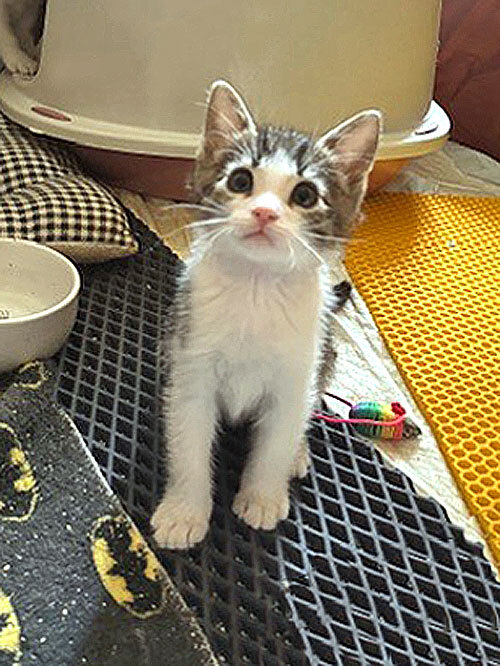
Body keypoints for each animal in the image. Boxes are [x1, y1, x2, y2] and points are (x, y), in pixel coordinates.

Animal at [151, 80, 381, 549]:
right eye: (241, 180)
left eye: (305, 195)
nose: (264, 212)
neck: (256, 289)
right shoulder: (190, 364)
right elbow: (189, 444)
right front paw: (184, 511)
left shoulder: (295, 376)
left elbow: (276, 440)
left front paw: (262, 497)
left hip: (325, 355)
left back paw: (297, 453)